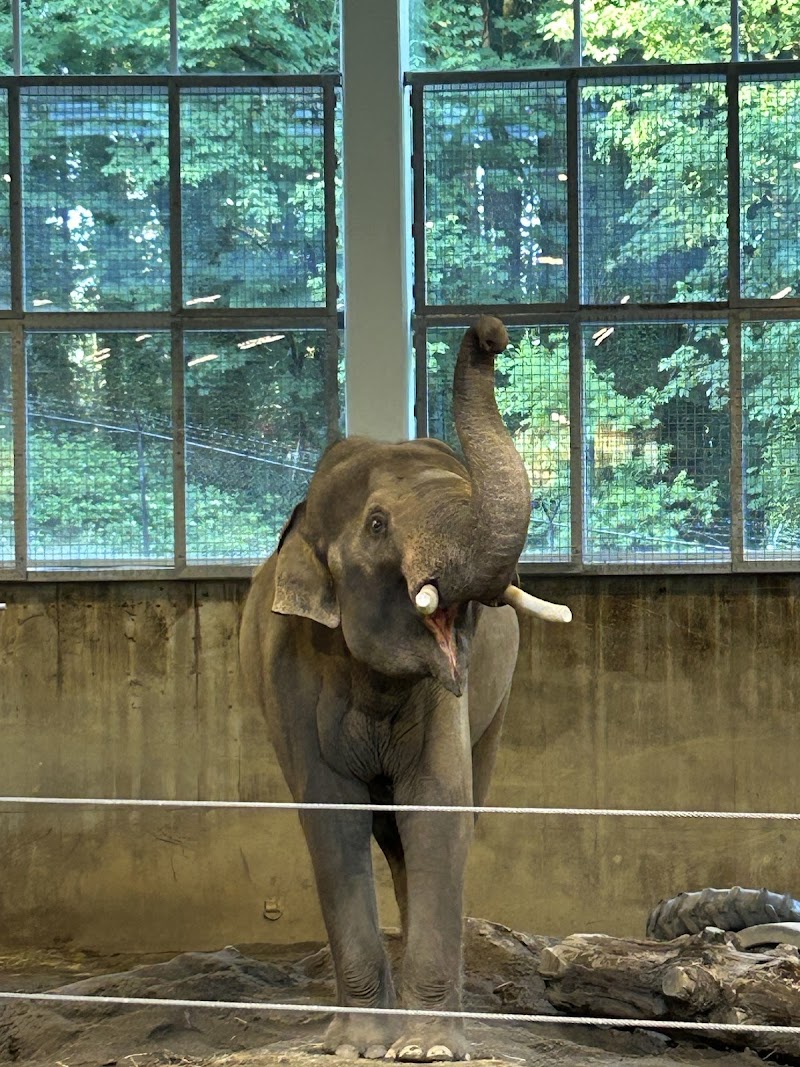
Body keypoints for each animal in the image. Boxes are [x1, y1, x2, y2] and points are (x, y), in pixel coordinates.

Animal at [239, 316, 570, 1062]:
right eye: (377, 524)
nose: (492, 333)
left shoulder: (451, 698)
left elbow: (439, 808)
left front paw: (426, 1049)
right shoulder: (291, 676)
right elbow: (331, 818)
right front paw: (359, 1045)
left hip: (497, 711)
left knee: (434, 824)